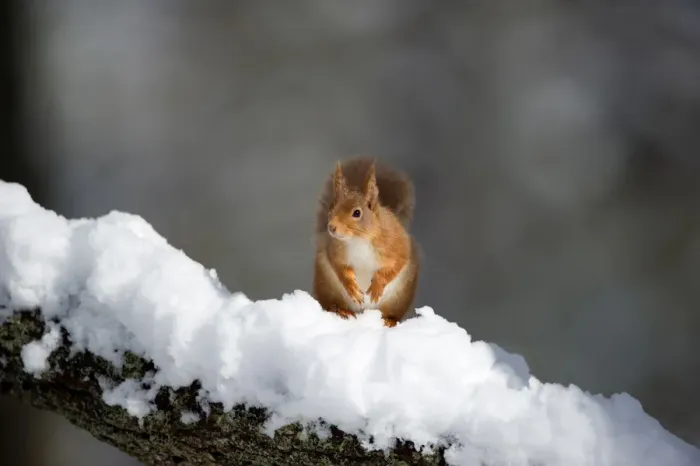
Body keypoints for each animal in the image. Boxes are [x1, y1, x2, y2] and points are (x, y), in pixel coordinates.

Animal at [312, 157, 419, 327]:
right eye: (332, 208)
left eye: (357, 213)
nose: (331, 227)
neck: (359, 239)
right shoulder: (334, 249)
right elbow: (339, 267)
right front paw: (352, 287)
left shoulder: (398, 246)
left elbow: (397, 264)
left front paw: (377, 286)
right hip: (326, 287)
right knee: (331, 303)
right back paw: (340, 310)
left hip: (400, 297)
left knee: (393, 313)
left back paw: (389, 320)